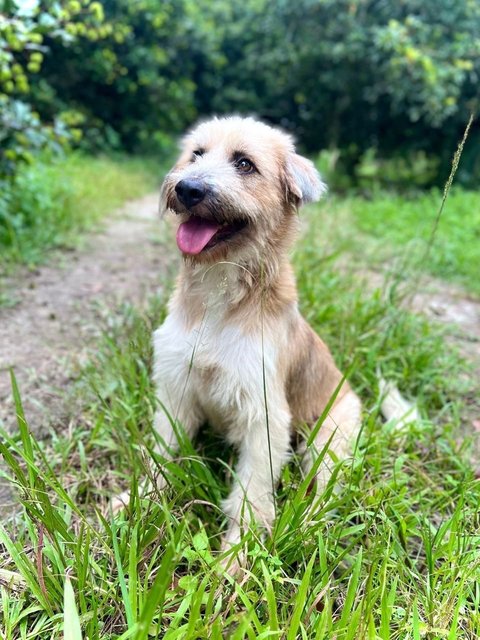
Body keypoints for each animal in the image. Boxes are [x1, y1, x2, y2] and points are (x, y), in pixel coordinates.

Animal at [150, 115, 360, 564]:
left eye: (244, 163)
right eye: (196, 154)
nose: (188, 188)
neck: (218, 297)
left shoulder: (263, 415)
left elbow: (250, 497)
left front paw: (233, 561)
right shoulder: (176, 392)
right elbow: (160, 458)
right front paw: (133, 501)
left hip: (328, 442)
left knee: (325, 492)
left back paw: (307, 527)